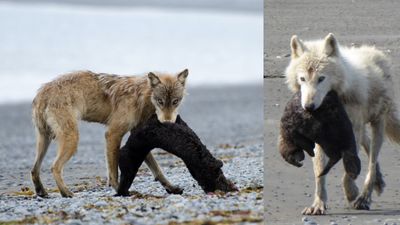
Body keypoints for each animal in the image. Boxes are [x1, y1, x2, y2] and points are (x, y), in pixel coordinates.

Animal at [30, 69, 188, 197]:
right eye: (160, 101)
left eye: (175, 101)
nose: (167, 122)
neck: (140, 97)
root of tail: (42, 92)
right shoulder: (113, 134)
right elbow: (113, 172)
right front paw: (120, 191)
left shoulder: (139, 138)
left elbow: (158, 170)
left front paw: (171, 188)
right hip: (72, 140)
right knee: (55, 167)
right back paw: (65, 192)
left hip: (45, 141)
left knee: (34, 170)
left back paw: (41, 192)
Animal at [284, 33, 400, 214]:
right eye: (302, 79)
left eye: (321, 78)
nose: (309, 107)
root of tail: (375, 51)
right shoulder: (320, 138)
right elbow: (320, 172)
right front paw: (318, 204)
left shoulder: (353, 132)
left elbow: (349, 170)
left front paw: (351, 193)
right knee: (368, 149)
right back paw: (379, 182)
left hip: (377, 124)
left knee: (372, 162)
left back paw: (364, 197)